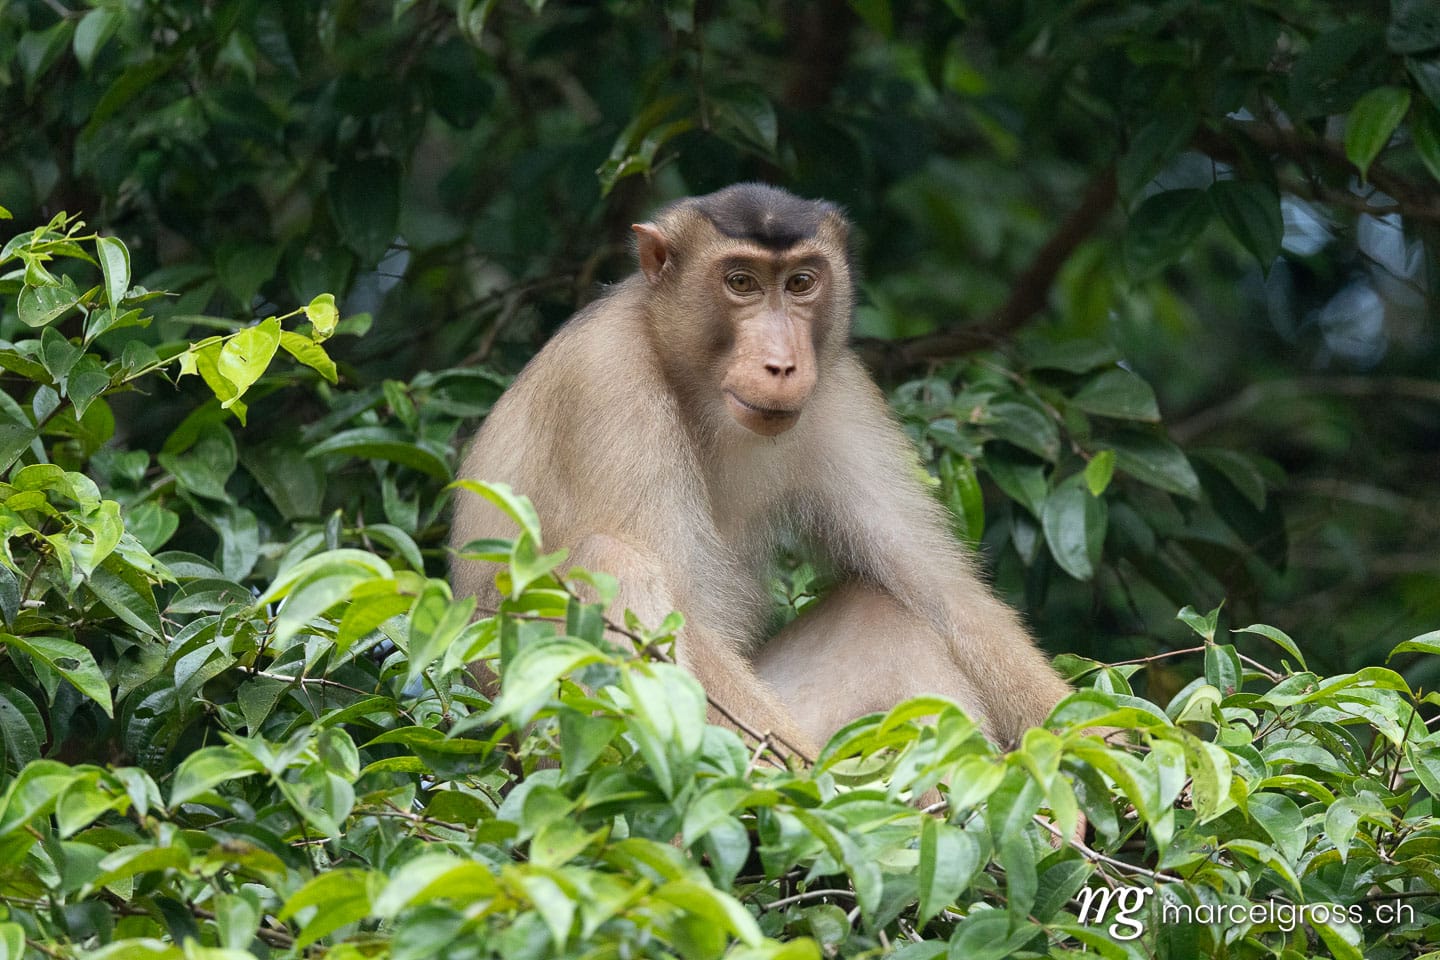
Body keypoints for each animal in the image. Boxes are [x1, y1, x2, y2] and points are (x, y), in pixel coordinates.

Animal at [450, 183, 1074, 760]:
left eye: (800, 283)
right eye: (741, 282)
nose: (782, 364)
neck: (692, 383)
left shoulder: (840, 389)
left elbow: (942, 591)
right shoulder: (605, 379)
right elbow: (683, 620)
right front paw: (819, 793)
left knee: (881, 612)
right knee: (611, 557)